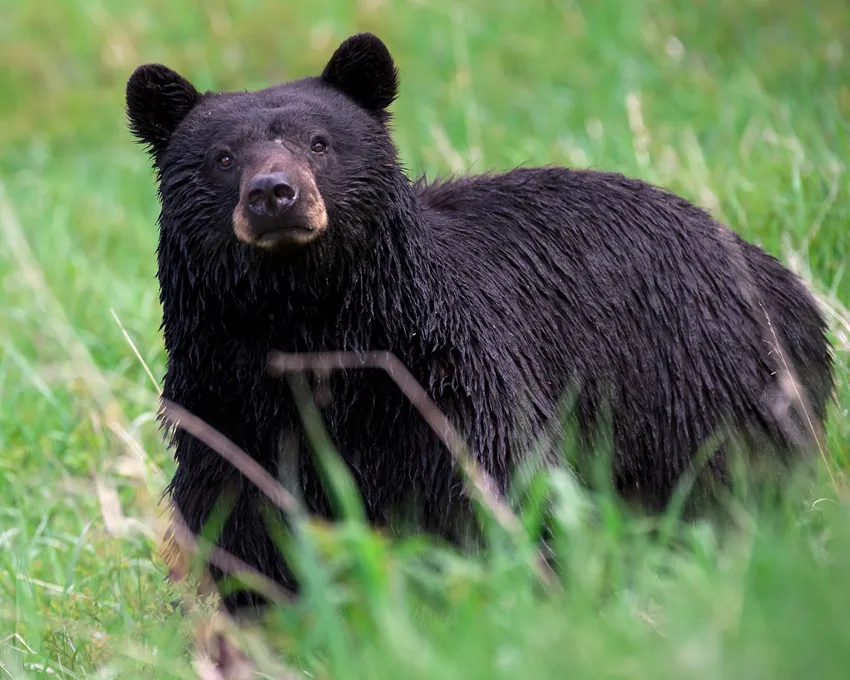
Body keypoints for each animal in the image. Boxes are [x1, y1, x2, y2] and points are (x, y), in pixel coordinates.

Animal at [124, 31, 828, 612]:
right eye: (221, 157)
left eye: (320, 144)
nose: (273, 194)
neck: (308, 327)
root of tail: (779, 277)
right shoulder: (227, 406)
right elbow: (247, 527)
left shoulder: (443, 383)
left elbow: (484, 491)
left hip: (701, 385)